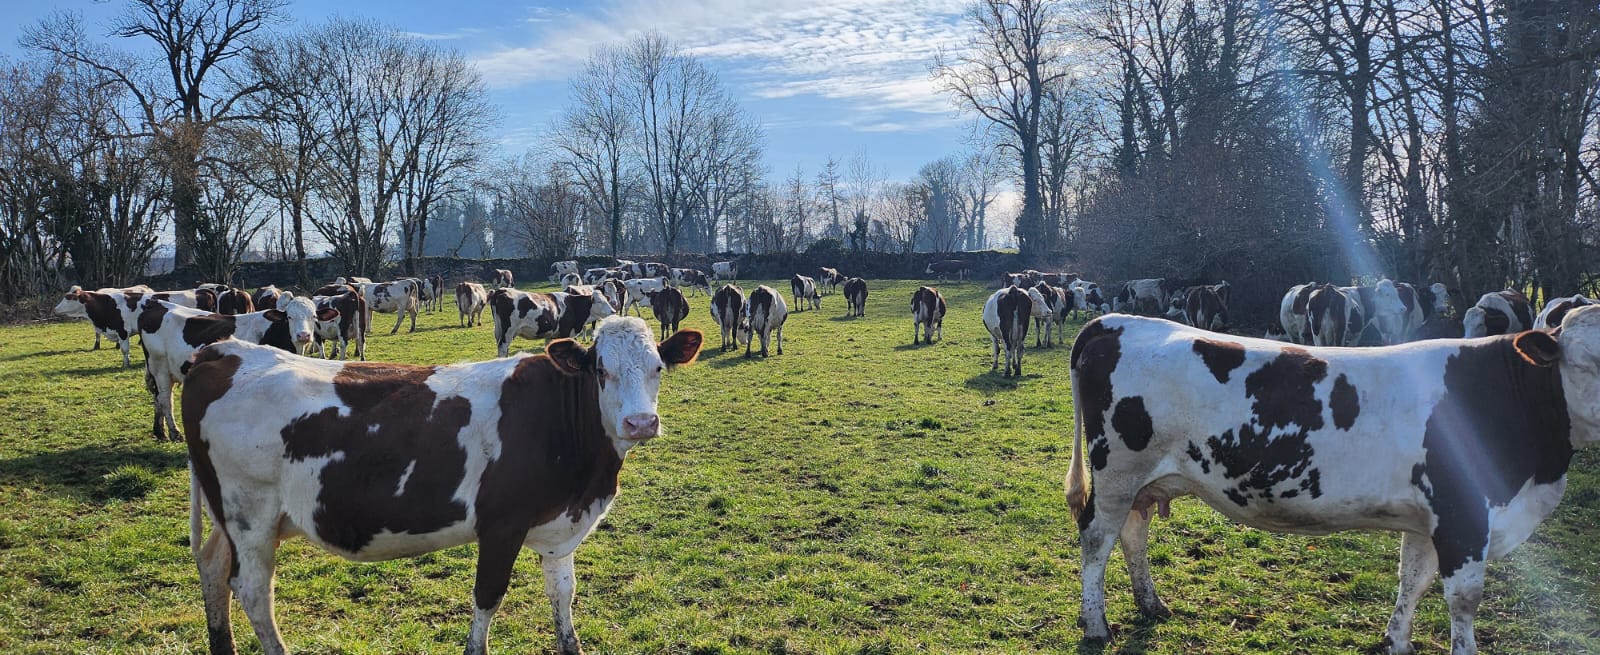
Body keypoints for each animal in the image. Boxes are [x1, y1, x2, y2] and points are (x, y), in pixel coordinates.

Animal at [138, 296, 325, 441]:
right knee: (165, 399)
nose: (303, 335)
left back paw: (160, 432)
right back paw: (174, 433)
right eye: (289, 317)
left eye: (314, 316)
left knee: (157, 398)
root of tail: (156, 303)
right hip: (159, 366)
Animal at [180, 317, 702, 655]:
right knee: (252, 589)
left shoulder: (560, 527)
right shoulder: (501, 525)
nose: (641, 423)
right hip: (252, 516)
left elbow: (563, 596)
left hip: (235, 517)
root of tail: (223, 351)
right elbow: (487, 597)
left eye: (658, 368)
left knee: (213, 567)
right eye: (601, 370)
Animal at [1064, 309, 1600, 654]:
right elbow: (1463, 601)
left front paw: (1396, 642)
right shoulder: (1465, 517)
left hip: (1144, 482)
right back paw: (1096, 625)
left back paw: (1152, 604)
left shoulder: (1430, 518)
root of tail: (1117, 322)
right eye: (1589, 362)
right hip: (1116, 473)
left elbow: (1412, 580)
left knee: (1133, 534)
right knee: (1096, 539)